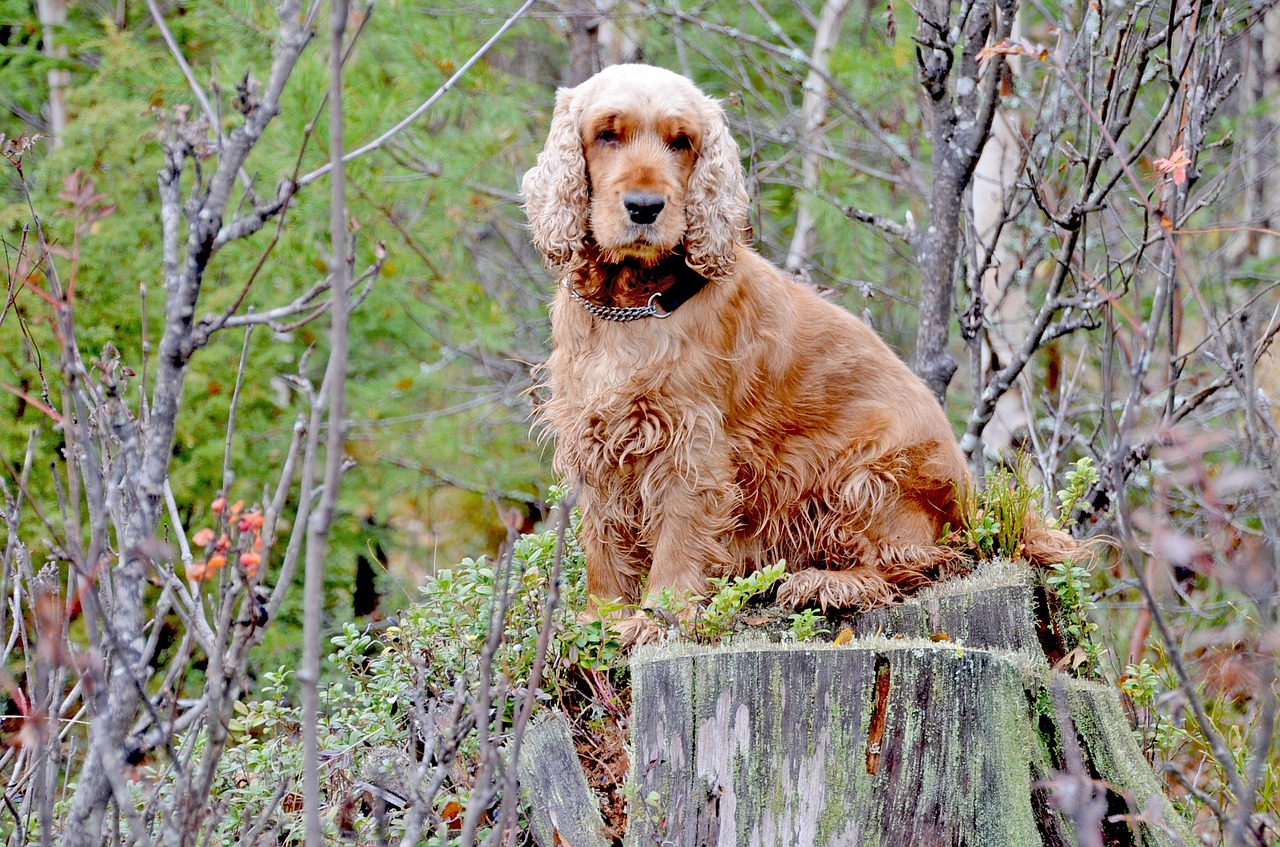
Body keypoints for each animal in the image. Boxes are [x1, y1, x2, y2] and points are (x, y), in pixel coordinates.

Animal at [519, 63, 1070, 639]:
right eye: (607, 134)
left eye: (681, 141)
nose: (645, 207)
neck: (632, 304)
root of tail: (970, 503)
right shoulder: (595, 434)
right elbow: (603, 541)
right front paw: (597, 621)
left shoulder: (690, 443)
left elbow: (677, 535)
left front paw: (658, 619)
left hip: (867, 478)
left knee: (913, 562)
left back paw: (823, 583)